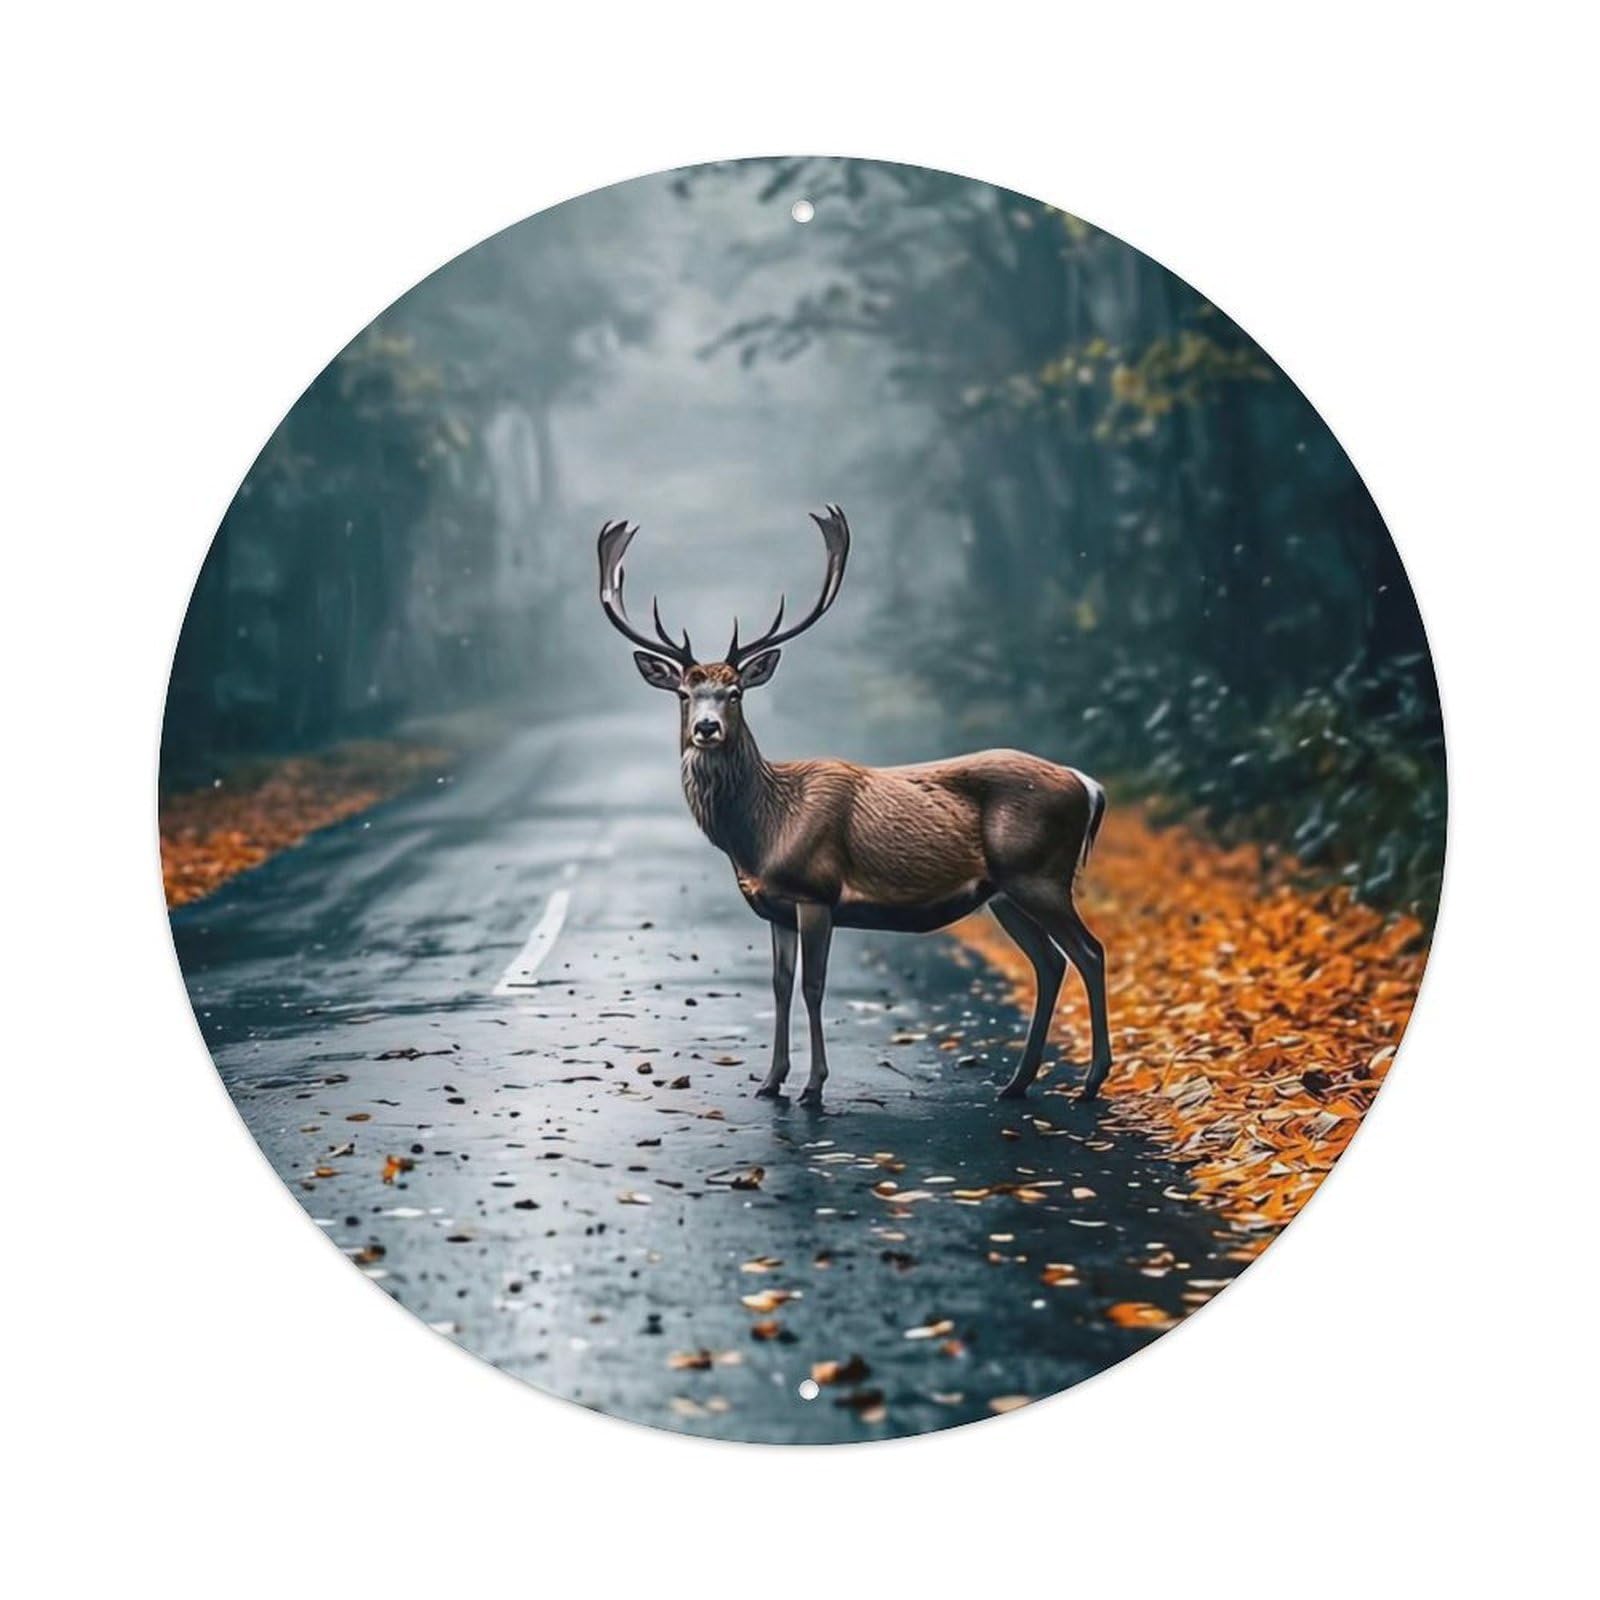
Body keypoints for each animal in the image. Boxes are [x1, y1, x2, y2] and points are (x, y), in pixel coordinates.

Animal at [597, 506, 1110, 1110]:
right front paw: (769, 1081)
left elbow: (814, 988)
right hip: (1005, 892)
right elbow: (780, 986)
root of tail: (1088, 785)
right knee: (1050, 962)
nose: (706, 728)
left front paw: (813, 1087)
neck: (764, 831)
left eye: (735, 693)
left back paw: (1090, 1082)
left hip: (1040, 875)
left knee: (1090, 952)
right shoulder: (776, 906)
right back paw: (1017, 1082)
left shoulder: (817, 890)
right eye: (683, 693)